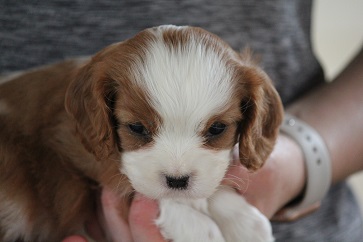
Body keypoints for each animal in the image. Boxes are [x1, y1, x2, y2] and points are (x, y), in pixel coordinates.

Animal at [0, 25, 284, 241]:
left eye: (217, 128)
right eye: (137, 128)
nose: (177, 181)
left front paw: (241, 220)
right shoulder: (68, 143)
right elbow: (126, 181)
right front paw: (198, 228)